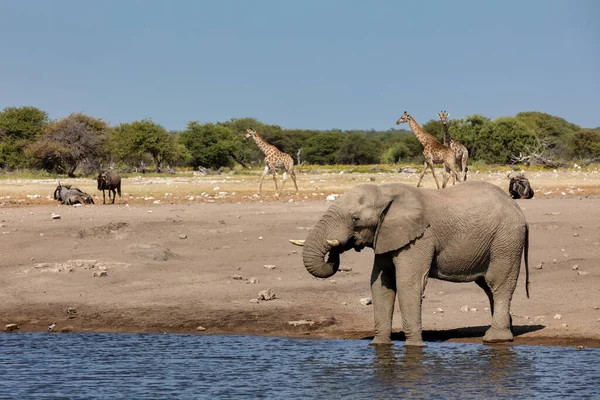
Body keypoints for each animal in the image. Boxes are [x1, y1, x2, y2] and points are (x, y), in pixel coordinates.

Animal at [290, 181, 528, 346]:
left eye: (355, 218)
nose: (335, 248)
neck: (384, 192)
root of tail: (518, 208)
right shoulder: (386, 236)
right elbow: (380, 285)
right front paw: (379, 345)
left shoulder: (419, 239)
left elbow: (407, 284)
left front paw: (413, 347)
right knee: (488, 287)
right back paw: (506, 331)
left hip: (506, 239)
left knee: (498, 283)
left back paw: (495, 339)